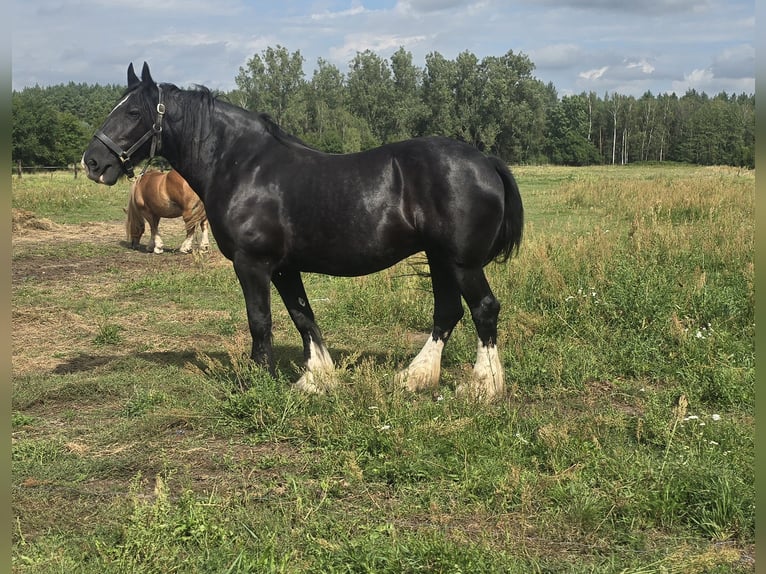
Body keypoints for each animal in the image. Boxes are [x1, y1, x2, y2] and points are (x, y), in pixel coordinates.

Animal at [82, 62, 523, 401]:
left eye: (133, 113)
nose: (93, 162)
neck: (243, 166)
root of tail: (485, 160)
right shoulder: (283, 267)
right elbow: (302, 316)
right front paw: (316, 379)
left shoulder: (252, 264)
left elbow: (260, 321)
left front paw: (256, 382)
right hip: (439, 258)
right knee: (447, 312)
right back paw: (414, 377)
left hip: (461, 262)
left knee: (484, 310)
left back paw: (483, 387)